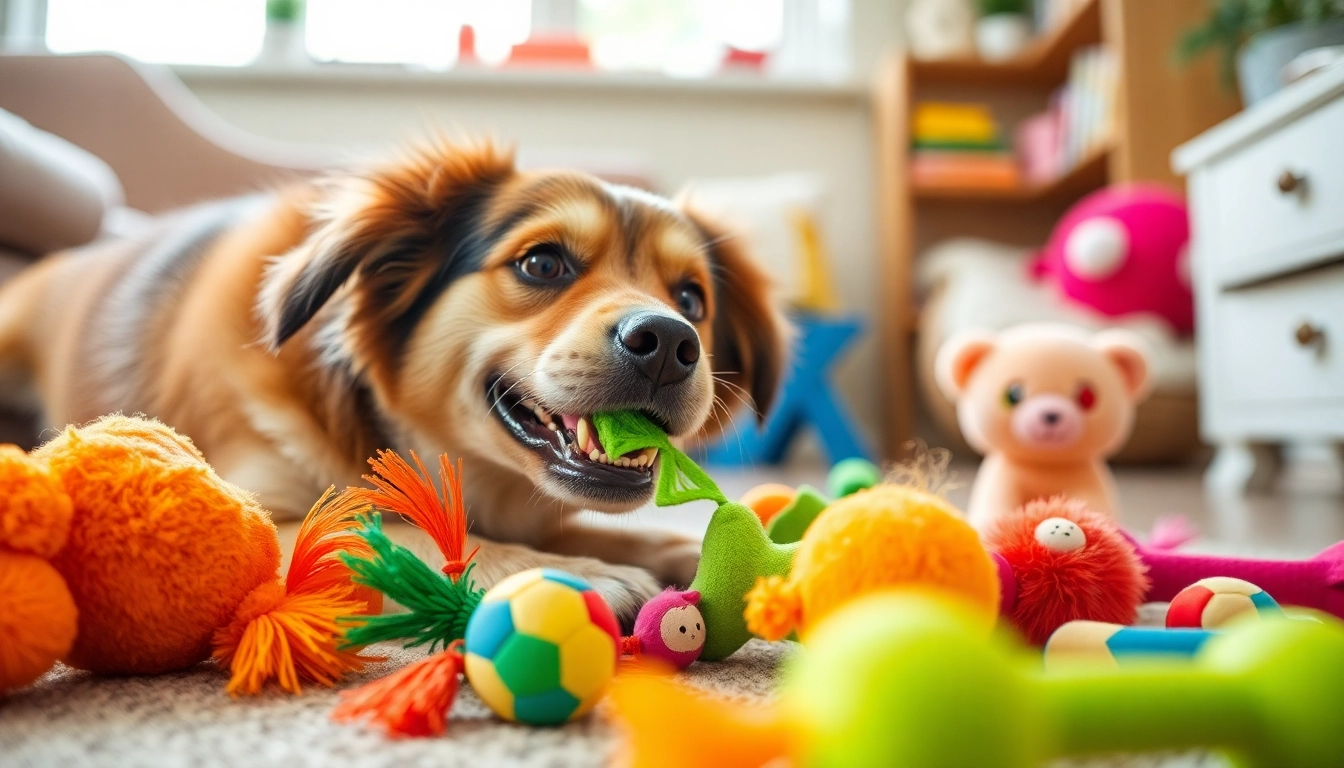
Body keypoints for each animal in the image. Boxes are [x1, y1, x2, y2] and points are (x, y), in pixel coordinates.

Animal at [0, 139, 790, 624]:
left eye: (691, 297)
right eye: (542, 263)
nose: (669, 344)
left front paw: (693, 550)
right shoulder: (255, 518)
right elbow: (402, 533)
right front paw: (568, 572)